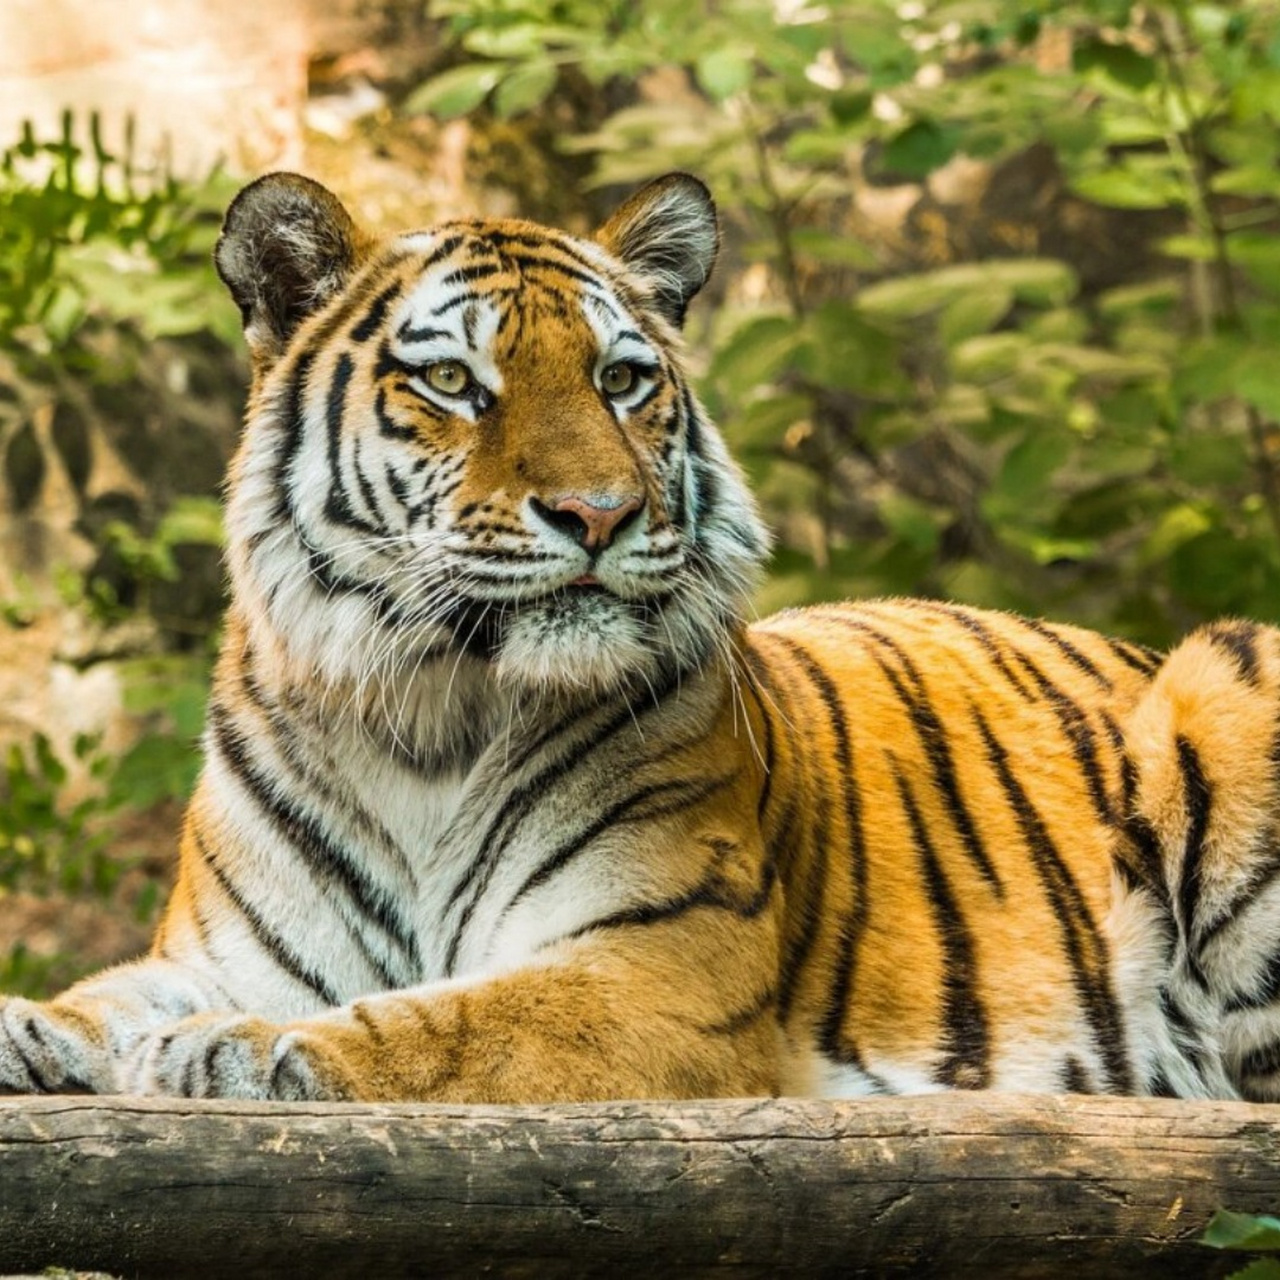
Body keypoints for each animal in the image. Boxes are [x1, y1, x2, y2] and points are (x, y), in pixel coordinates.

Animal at [2, 169, 1279, 1104]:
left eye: (620, 379)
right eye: (453, 380)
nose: (600, 513)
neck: (425, 715)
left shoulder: (658, 966)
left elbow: (449, 1019)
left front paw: (243, 1047)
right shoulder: (220, 952)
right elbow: (112, 994)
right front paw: (39, 1027)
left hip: (1220, 678)